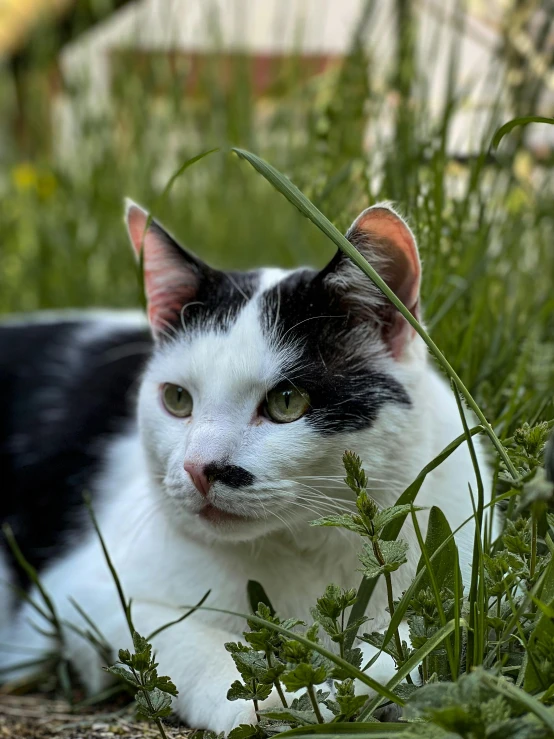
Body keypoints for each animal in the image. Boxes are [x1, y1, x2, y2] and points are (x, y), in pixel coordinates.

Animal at [0, 199, 486, 732]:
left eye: (286, 401)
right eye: (176, 399)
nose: (198, 468)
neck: (306, 551)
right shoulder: (79, 597)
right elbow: (168, 635)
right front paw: (277, 695)